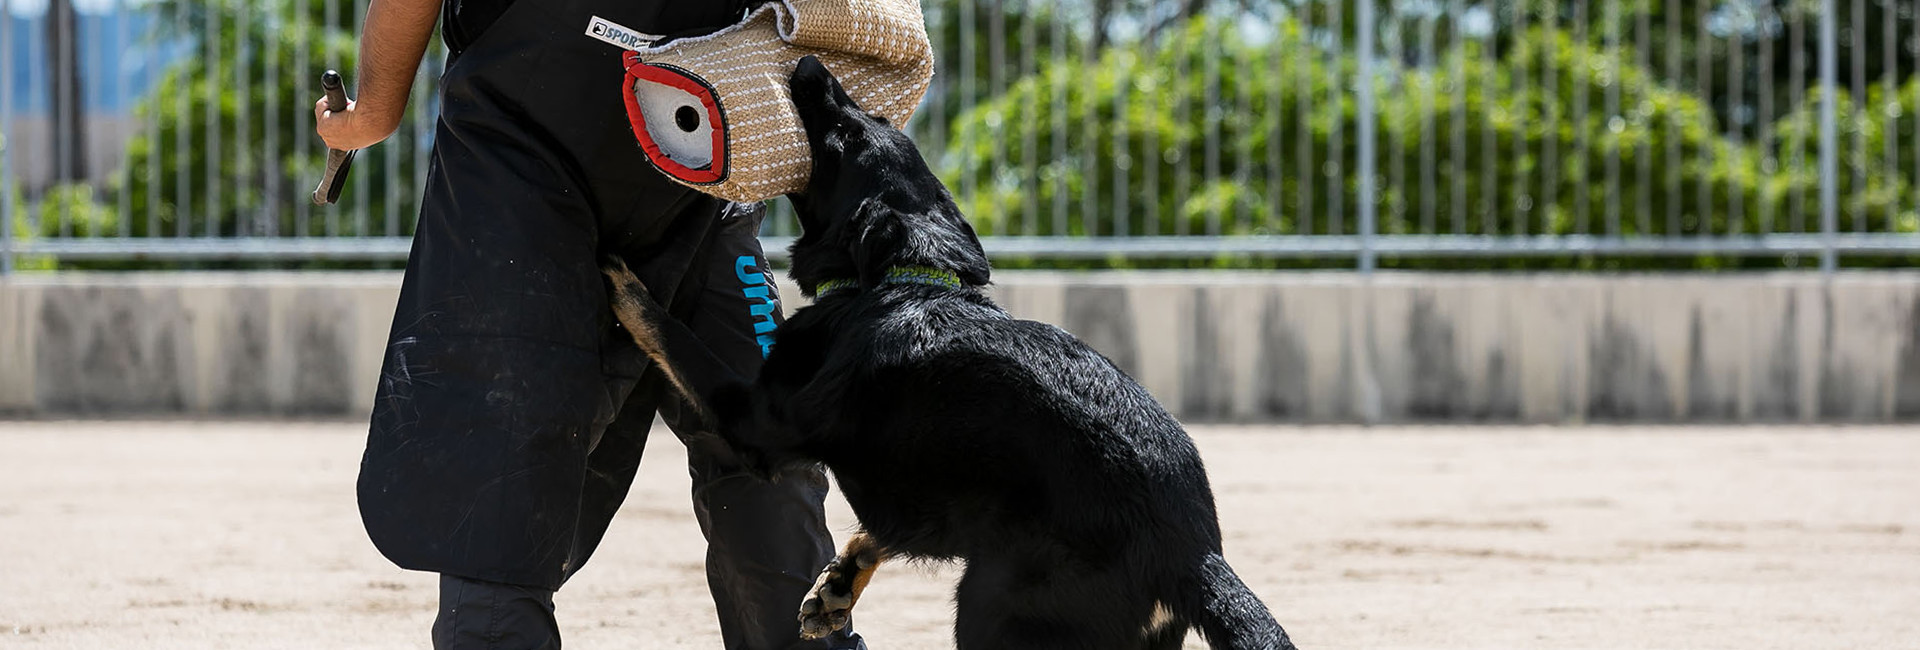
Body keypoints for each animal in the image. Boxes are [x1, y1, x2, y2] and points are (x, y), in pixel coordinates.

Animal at [606, 56, 1297, 650]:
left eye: (844, 137)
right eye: (871, 118)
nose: (809, 66)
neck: (903, 277)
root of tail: (1192, 552)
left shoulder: (752, 421)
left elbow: (672, 334)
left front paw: (625, 284)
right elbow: (887, 530)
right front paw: (838, 582)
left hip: (991, 605)